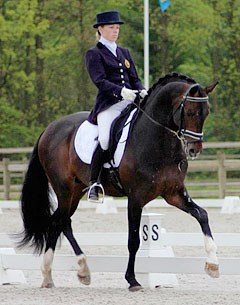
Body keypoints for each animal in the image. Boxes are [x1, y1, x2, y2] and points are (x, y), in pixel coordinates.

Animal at [17, 72, 219, 290]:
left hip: (76, 191)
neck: (158, 141)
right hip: (64, 188)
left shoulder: (174, 193)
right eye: (189, 112)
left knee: (58, 222)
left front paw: (213, 265)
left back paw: (52, 275)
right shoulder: (135, 198)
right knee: (61, 222)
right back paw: (80, 270)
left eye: (206, 112)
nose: (194, 150)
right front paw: (132, 280)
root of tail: (50, 128)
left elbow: (202, 215)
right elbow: (133, 240)